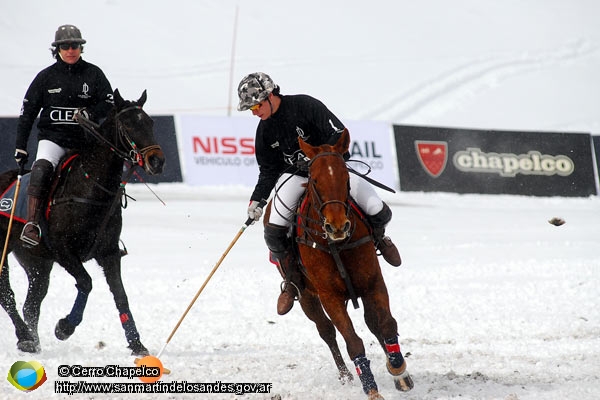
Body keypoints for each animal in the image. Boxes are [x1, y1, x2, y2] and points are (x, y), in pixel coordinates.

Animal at [0, 90, 165, 356]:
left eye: (150, 123)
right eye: (128, 125)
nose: (157, 161)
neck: (90, 188)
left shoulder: (109, 253)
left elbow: (121, 295)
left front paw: (137, 345)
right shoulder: (63, 250)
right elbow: (86, 282)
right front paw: (64, 327)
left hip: (36, 261)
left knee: (32, 303)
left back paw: (32, 340)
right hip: (4, 250)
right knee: (7, 294)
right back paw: (25, 336)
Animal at [266, 130, 412, 398]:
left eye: (346, 177)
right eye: (314, 181)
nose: (337, 226)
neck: (337, 244)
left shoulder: (373, 282)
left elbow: (386, 324)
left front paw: (399, 371)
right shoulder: (329, 295)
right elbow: (352, 341)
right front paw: (371, 389)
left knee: (372, 322)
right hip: (306, 295)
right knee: (326, 330)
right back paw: (346, 376)